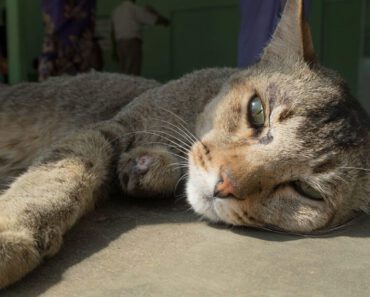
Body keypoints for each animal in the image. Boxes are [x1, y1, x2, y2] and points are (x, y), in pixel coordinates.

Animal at [0, 0, 368, 288]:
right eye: (257, 110)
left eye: (308, 191)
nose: (224, 185)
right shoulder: (109, 128)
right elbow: (56, 177)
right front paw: (11, 235)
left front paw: (145, 168)